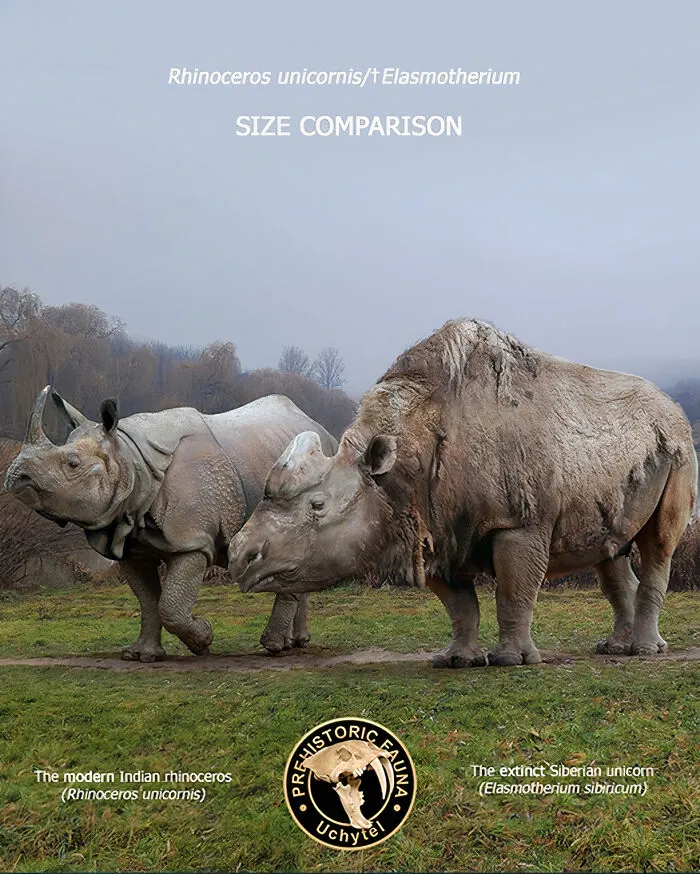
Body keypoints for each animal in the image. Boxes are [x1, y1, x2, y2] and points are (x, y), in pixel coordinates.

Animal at [4, 388, 337, 661]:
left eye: (72, 463)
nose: (15, 477)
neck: (131, 461)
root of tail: (325, 431)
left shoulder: (192, 541)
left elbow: (171, 605)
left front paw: (203, 640)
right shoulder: (130, 542)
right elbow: (148, 600)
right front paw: (141, 655)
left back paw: (275, 648)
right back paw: (297, 642)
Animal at [229, 319, 697, 666]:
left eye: (318, 506)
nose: (238, 556)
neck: (397, 467)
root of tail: (672, 405)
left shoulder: (518, 521)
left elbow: (513, 591)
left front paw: (512, 661)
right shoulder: (431, 521)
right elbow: (459, 605)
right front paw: (456, 660)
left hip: (678, 447)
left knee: (658, 544)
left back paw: (644, 652)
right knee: (610, 550)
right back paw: (616, 649)